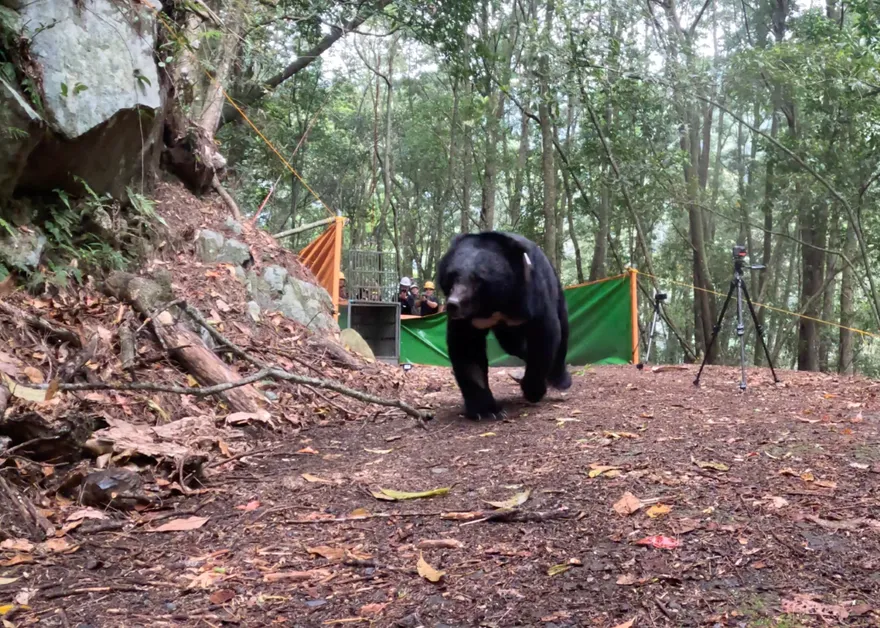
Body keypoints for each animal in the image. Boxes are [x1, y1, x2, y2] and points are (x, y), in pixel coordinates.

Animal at [437, 231, 572, 419]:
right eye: (452, 276)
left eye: (478, 279)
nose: (453, 304)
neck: (493, 306)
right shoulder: (468, 320)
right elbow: (466, 347)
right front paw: (486, 410)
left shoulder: (532, 296)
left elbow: (544, 334)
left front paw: (533, 391)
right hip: (507, 332)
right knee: (513, 346)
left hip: (555, 291)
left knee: (563, 331)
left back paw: (560, 380)